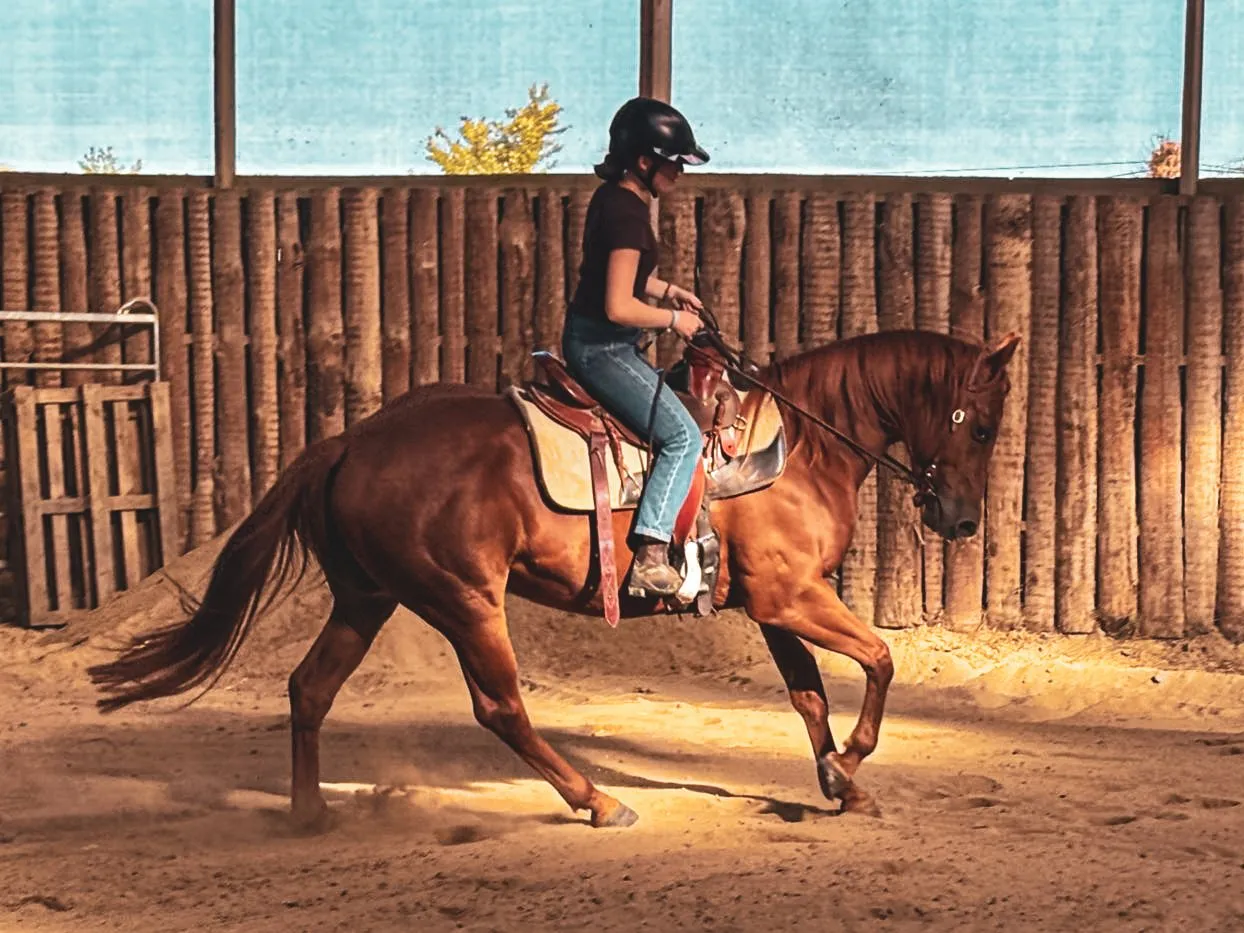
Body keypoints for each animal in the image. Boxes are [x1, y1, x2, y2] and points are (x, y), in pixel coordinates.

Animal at [87, 326, 1021, 829]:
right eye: (981, 426)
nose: (961, 521)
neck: (799, 443)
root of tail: (350, 440)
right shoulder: (791, 594)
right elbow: (877, 661)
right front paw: (853, 762)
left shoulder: (773, 605)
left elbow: (809, 694)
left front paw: (839, 781)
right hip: (465, 602)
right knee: (499, 707)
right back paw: (596, 799)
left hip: (367, 598)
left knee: (309, 688)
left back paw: (310, 812)